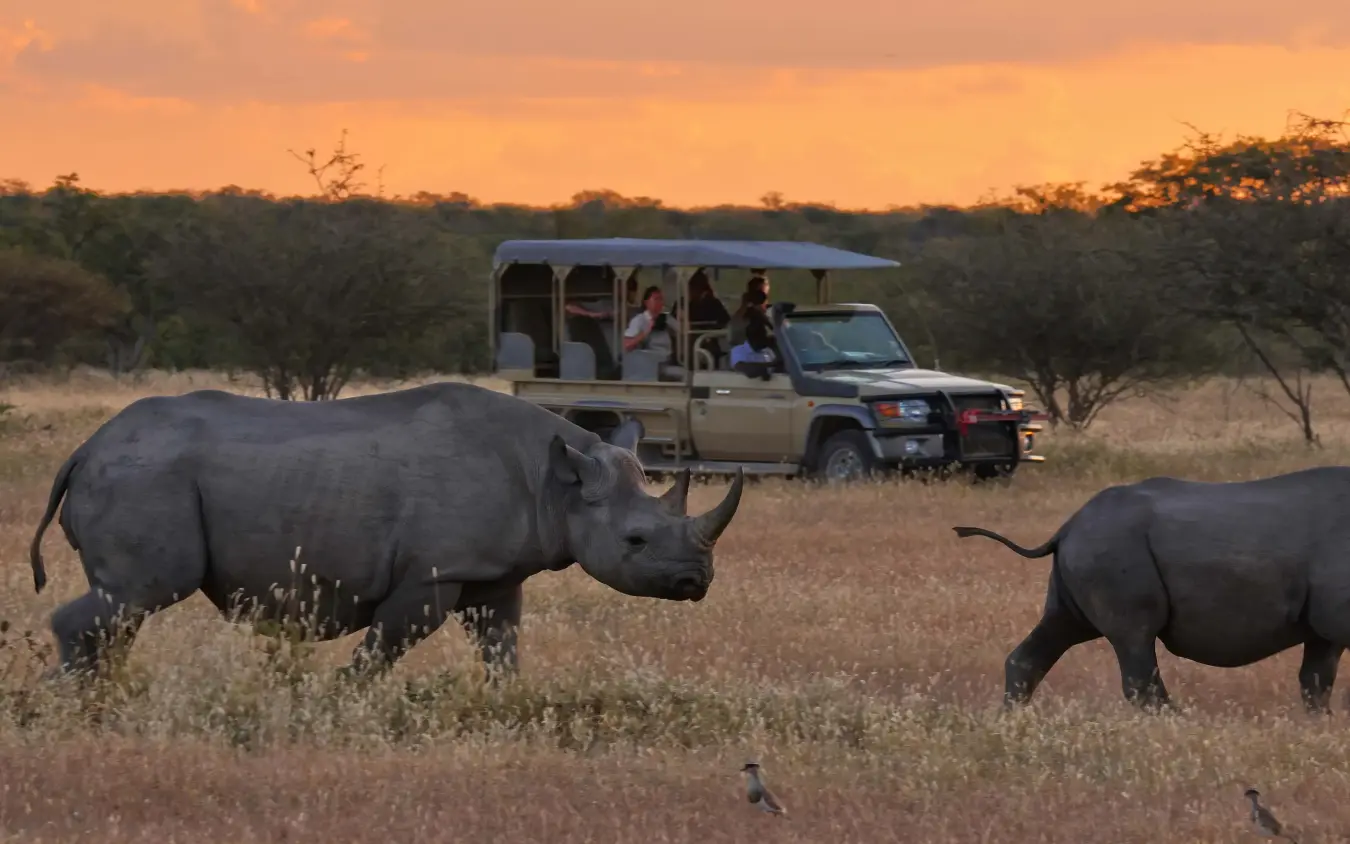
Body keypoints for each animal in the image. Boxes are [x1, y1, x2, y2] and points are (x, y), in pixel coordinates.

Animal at [28, 382, 744, 679]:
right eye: (635, 541)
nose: (697, 581)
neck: (556, 485)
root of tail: (84, 450)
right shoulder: (433, 572)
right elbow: (384, 648)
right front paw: (337, 704)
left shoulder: (493, 573)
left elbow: (502, 649)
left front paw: (506, 707)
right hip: (146, 478)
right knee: (138, 595)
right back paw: (71, 706)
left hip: (142, 475)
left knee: (124, 609)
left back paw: (103, 699)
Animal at [953, 466, 1350, 713]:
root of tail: (1067, 527)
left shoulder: (1323, 625)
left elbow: (1317, 678)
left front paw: (1321, 724)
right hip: (1112, 547)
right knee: (1136, 637)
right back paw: (1182, 725)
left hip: (1091, 549)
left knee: (1060, 628)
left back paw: (1010, 721)